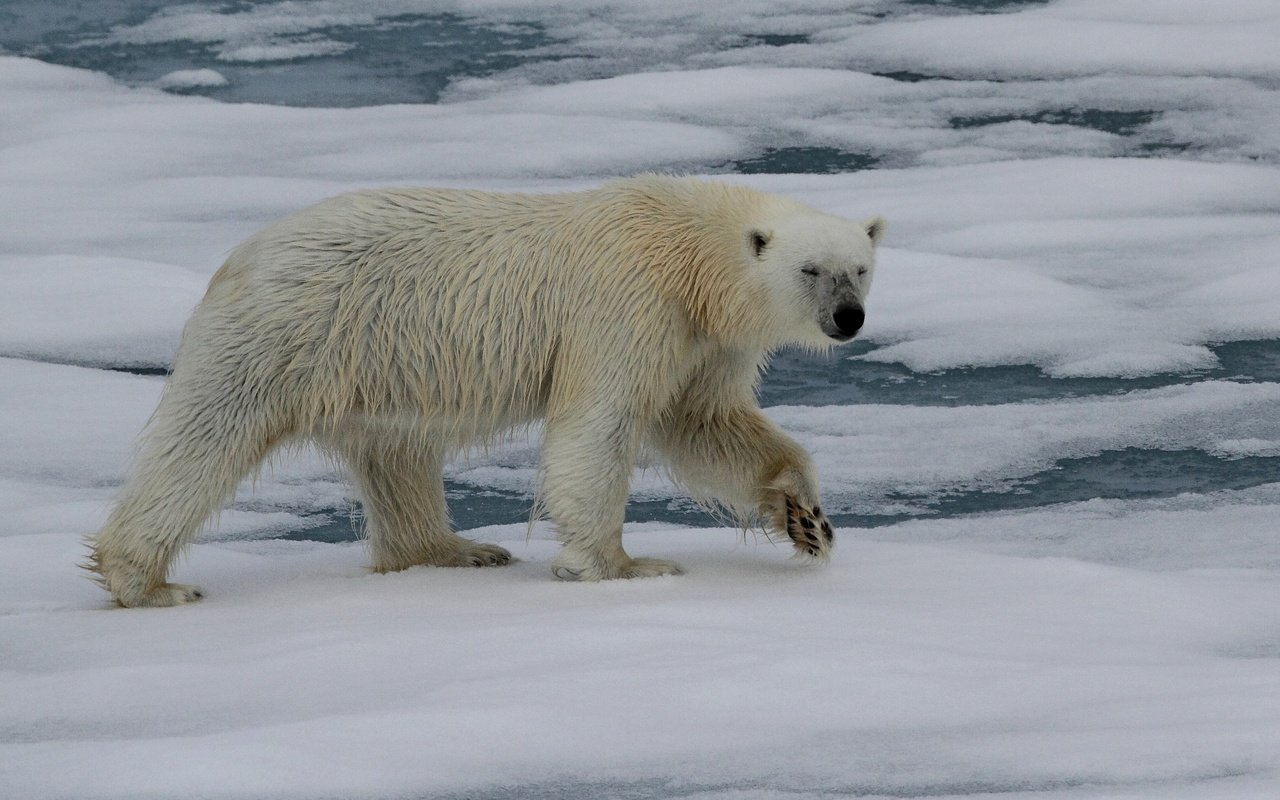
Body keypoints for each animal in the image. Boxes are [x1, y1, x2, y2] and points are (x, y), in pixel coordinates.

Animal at [85, 174, 885, 604]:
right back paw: (147, 581)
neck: (688, 249)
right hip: (291, 331)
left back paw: (454, 549)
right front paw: (622, 565)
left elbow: (706, 422)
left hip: (378, 360)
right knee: (205, 438)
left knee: (397, 453)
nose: (847, 318)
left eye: (861, 267)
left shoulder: (704, 340)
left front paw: (808, 519)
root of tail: (238, 255)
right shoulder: (627, 301)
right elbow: (600, 426)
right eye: (811, 269)